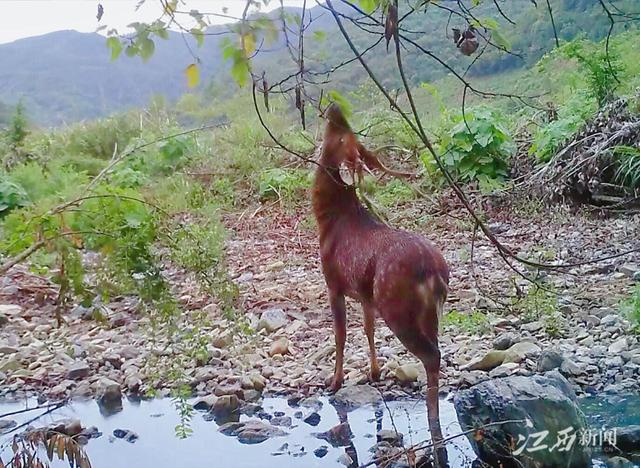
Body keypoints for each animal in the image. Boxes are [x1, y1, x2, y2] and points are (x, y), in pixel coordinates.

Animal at [312, 105, 448, 464]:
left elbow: (341, 335)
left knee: (432, 356)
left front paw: (334, 380)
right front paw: (374, 373)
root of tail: (436, 274)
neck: (328, 221)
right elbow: (368, 329)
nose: (335, 108)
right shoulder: (364, 293)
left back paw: (433, 422)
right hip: (425, 312)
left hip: (396, 305)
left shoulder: (333, 282)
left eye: (342, 138)